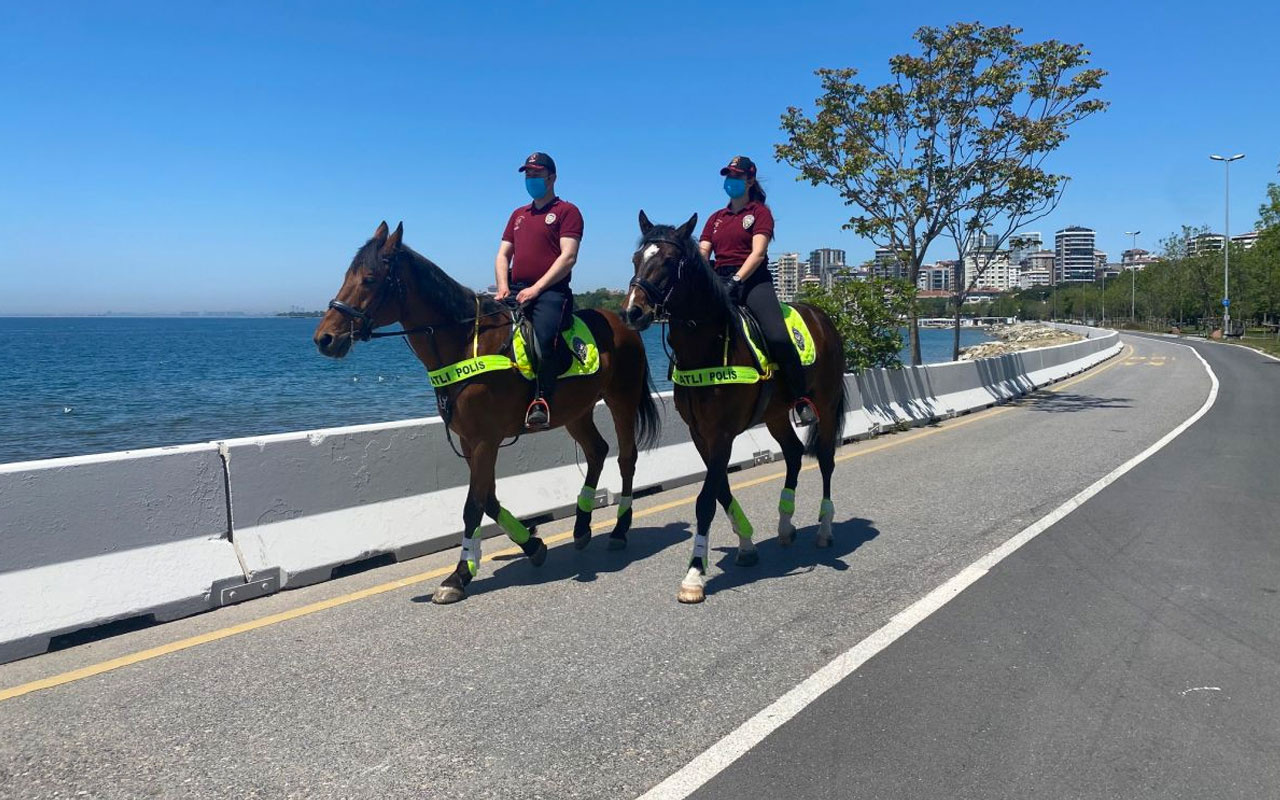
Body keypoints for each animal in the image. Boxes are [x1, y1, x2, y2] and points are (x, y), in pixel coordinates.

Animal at [316, 221, 665, 601]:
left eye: (369, 279)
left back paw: (619, 529)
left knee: (626, 457)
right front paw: (533, 546)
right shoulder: (470, 442)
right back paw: (582, 526)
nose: (325, 338)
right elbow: (489, 500)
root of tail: (622, 323)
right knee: (597, 451)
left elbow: (474, 506)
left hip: (621, 400)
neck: (464, 340)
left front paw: (458, 576)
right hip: (576, 411)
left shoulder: (485, 440)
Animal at [622, 211, 844, 599]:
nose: (633, 311)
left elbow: (706, 499)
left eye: (669, 261)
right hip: (775, 414)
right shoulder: (701, 434)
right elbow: (720, 489)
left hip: (827, 406)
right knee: (792, 453)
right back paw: (785, 524)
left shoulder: (722, 433)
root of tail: (822, 316)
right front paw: (746, 545)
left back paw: (824, 529)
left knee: (826, 460)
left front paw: (695, 572)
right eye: (637, 258)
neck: (706, 346)